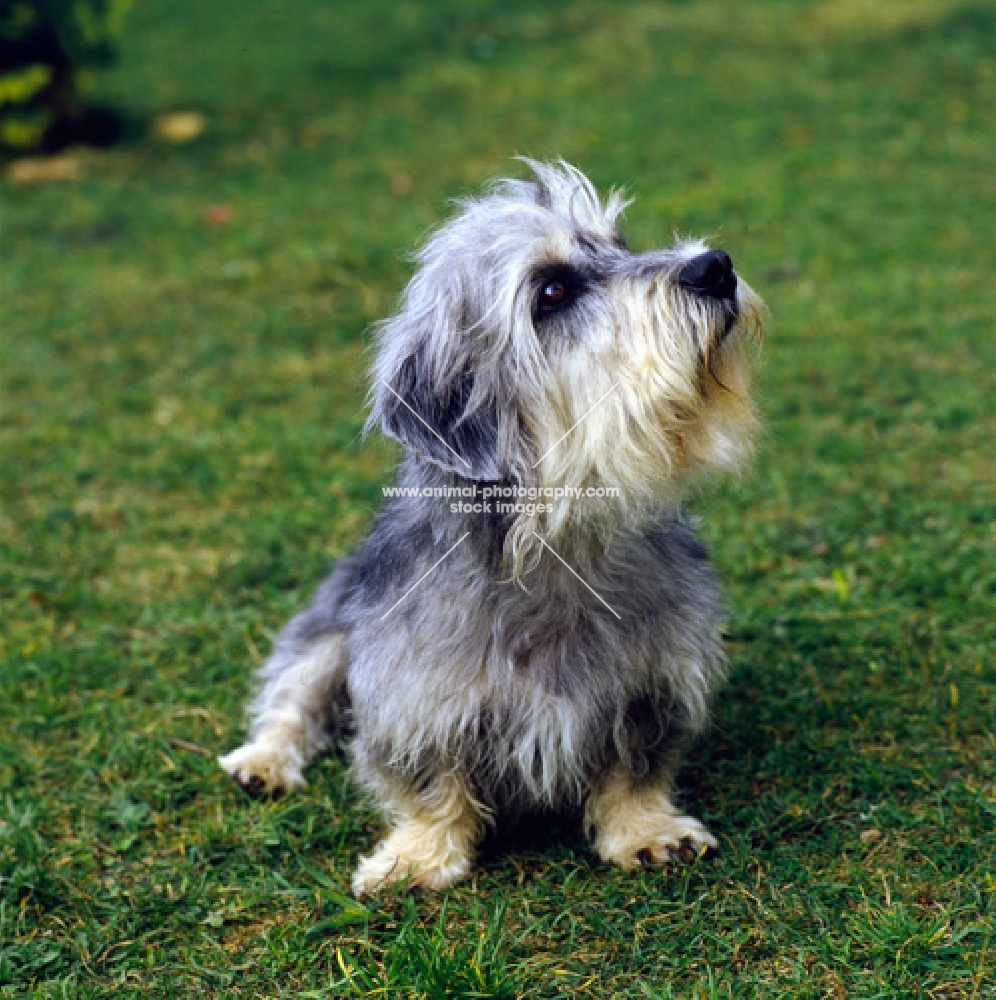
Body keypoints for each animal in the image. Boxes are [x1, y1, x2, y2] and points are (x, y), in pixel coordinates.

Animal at [218, 160, 764, 896]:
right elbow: (431, 784)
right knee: (291, 701)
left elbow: (634, 768)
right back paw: (264, 761)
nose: (715, 266)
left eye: (619, 242)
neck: (555, 544)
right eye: (553, 290)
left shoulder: (652, 684)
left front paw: (646, 830)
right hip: (326, 633)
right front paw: (420, 854)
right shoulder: (412, 696)